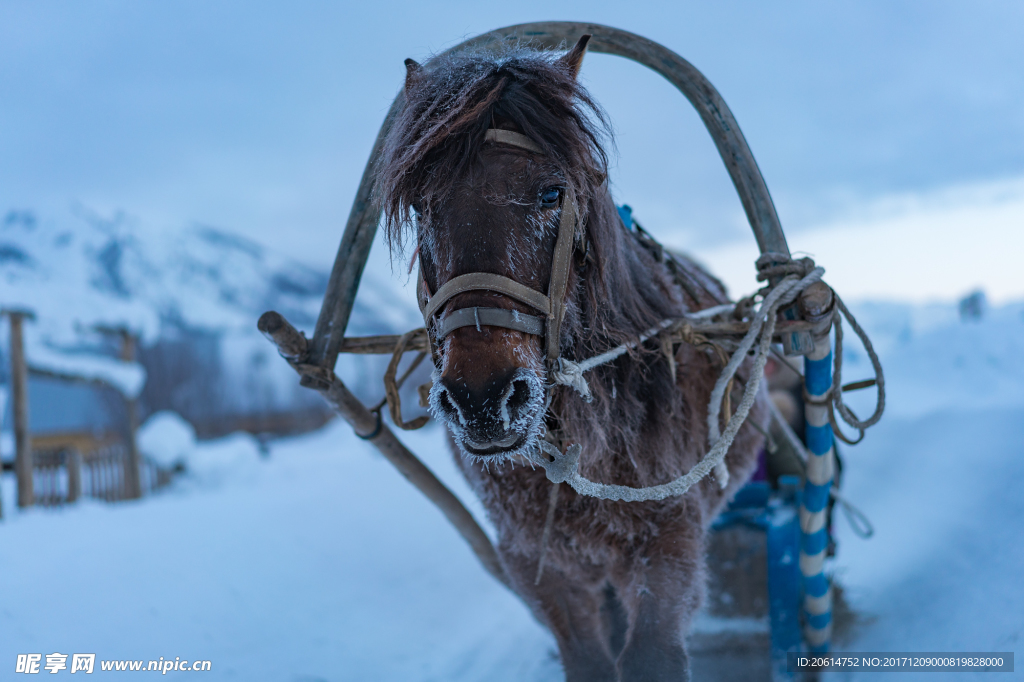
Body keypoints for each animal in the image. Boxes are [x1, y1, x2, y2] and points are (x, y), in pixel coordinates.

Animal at [376, 34, 770, 675]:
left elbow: (649, 655)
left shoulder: (670, 541)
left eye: (551, 193)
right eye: (422, 207)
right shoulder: (540, 568)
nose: (483, 398)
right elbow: (588, 659)